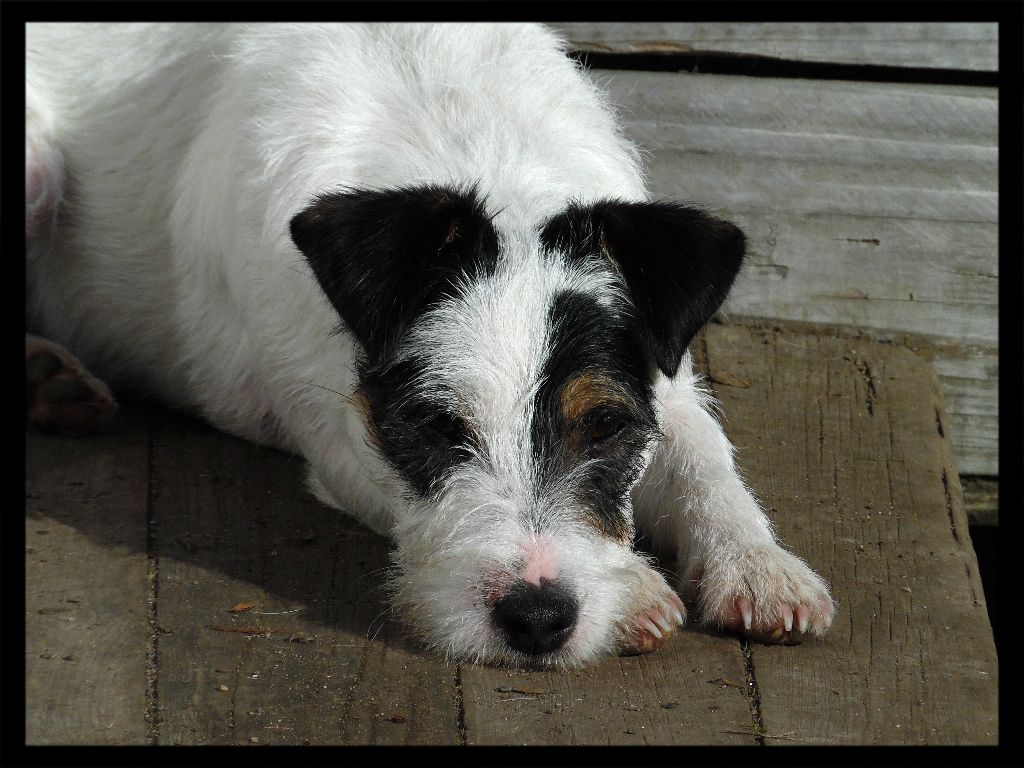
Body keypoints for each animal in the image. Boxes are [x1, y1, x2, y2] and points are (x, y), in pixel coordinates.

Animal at [28, 22, 835, 667]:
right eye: (434, 424)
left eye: (606, 425)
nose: (538, 620)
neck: (473, 143)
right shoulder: (338, 433)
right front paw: (634, 587)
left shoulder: (666, 386)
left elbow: (706, 460)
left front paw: (758, 564)